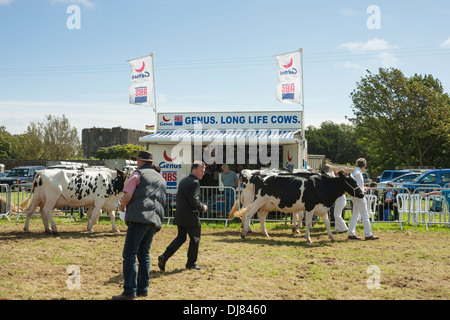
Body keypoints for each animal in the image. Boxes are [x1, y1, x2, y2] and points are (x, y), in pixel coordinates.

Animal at [230, 170, 364, 242]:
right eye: (352, 182)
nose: (362, 193)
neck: (323, 185)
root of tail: (257, 175)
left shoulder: (322, 209)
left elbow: (326, 224)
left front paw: (332, 238)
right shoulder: (310, 207)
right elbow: (308, 222)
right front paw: (308, 238)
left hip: (268, 204)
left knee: (261, 215)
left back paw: (266, 234)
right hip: (258, 200)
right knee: (248, 213)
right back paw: (244, 233)